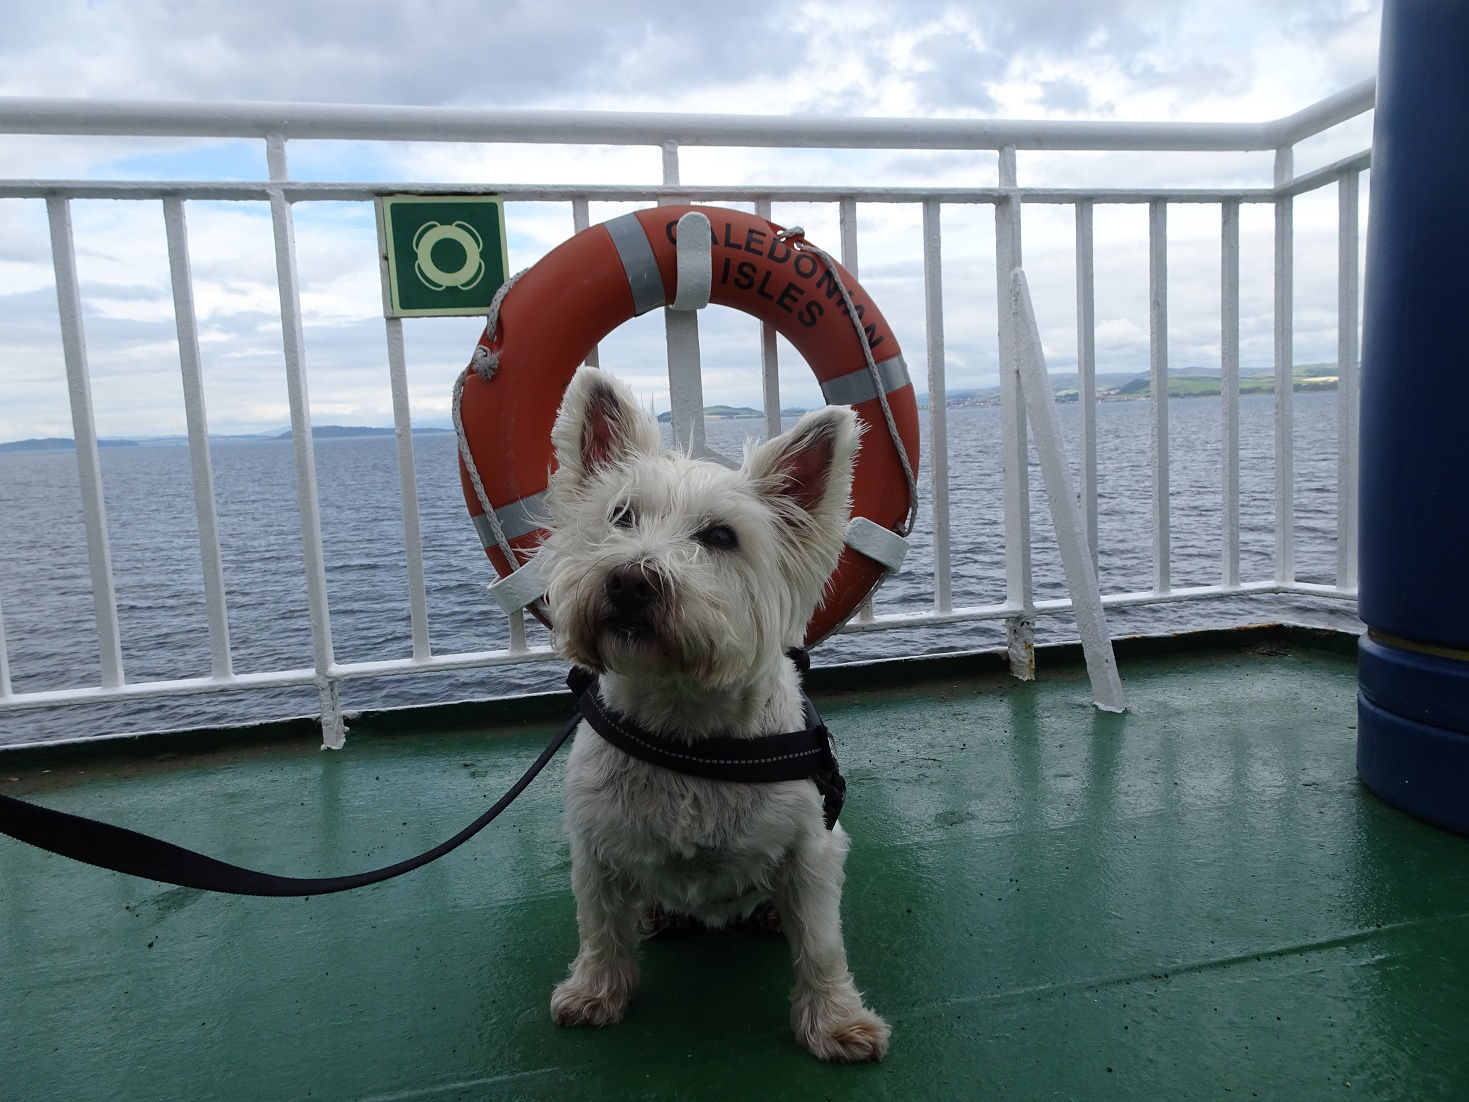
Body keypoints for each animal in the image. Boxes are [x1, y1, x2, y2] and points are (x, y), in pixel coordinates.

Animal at [540, 367, 881, 1063]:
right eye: (619, 515)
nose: (630, 581)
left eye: (721, 536)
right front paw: (593, 994)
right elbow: (599, 927)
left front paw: (836, 1024)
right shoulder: (593, 846)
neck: (684, 727)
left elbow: (821, 944)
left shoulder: (812, 847)